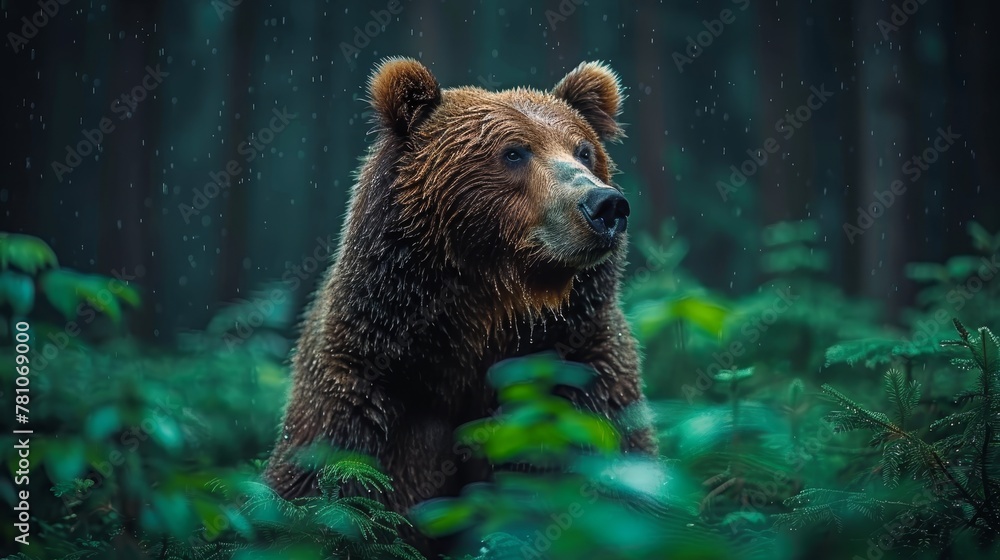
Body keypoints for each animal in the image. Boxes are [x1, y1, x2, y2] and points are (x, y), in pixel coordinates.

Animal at [265, 57, 657, 545]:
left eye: (584, 151)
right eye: (515, 152)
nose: (605, 204)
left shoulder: (580, 368)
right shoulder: (366, 385)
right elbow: (323, 488)